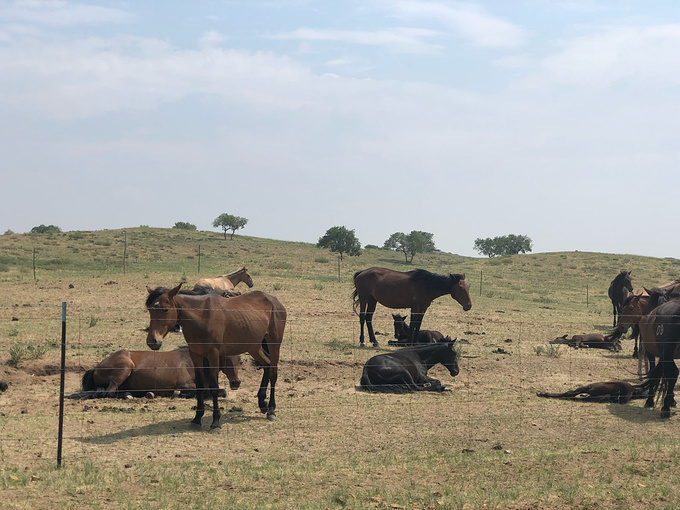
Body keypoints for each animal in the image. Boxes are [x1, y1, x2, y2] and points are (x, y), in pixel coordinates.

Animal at [80, 346, 242, 398]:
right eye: (226, 358)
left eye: (240, 360)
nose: (236, 382)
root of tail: (96, 367)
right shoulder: (185, 385)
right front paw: (179, 394)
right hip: (124, 368)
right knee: (110, 392)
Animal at [146, 284, 286, 428]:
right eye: (150, 309)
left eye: (165, 309)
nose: (153, 341)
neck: (201, 316)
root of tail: (274, 301)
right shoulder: (196, 354)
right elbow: (200, 384)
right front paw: (197, 418)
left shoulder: (213, 355)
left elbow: (213, 386)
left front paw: (215, 422)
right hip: (254, 347)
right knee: (267, 365)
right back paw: (262, 403)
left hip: (274, 344)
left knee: (273, 373)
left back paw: (271, 410)